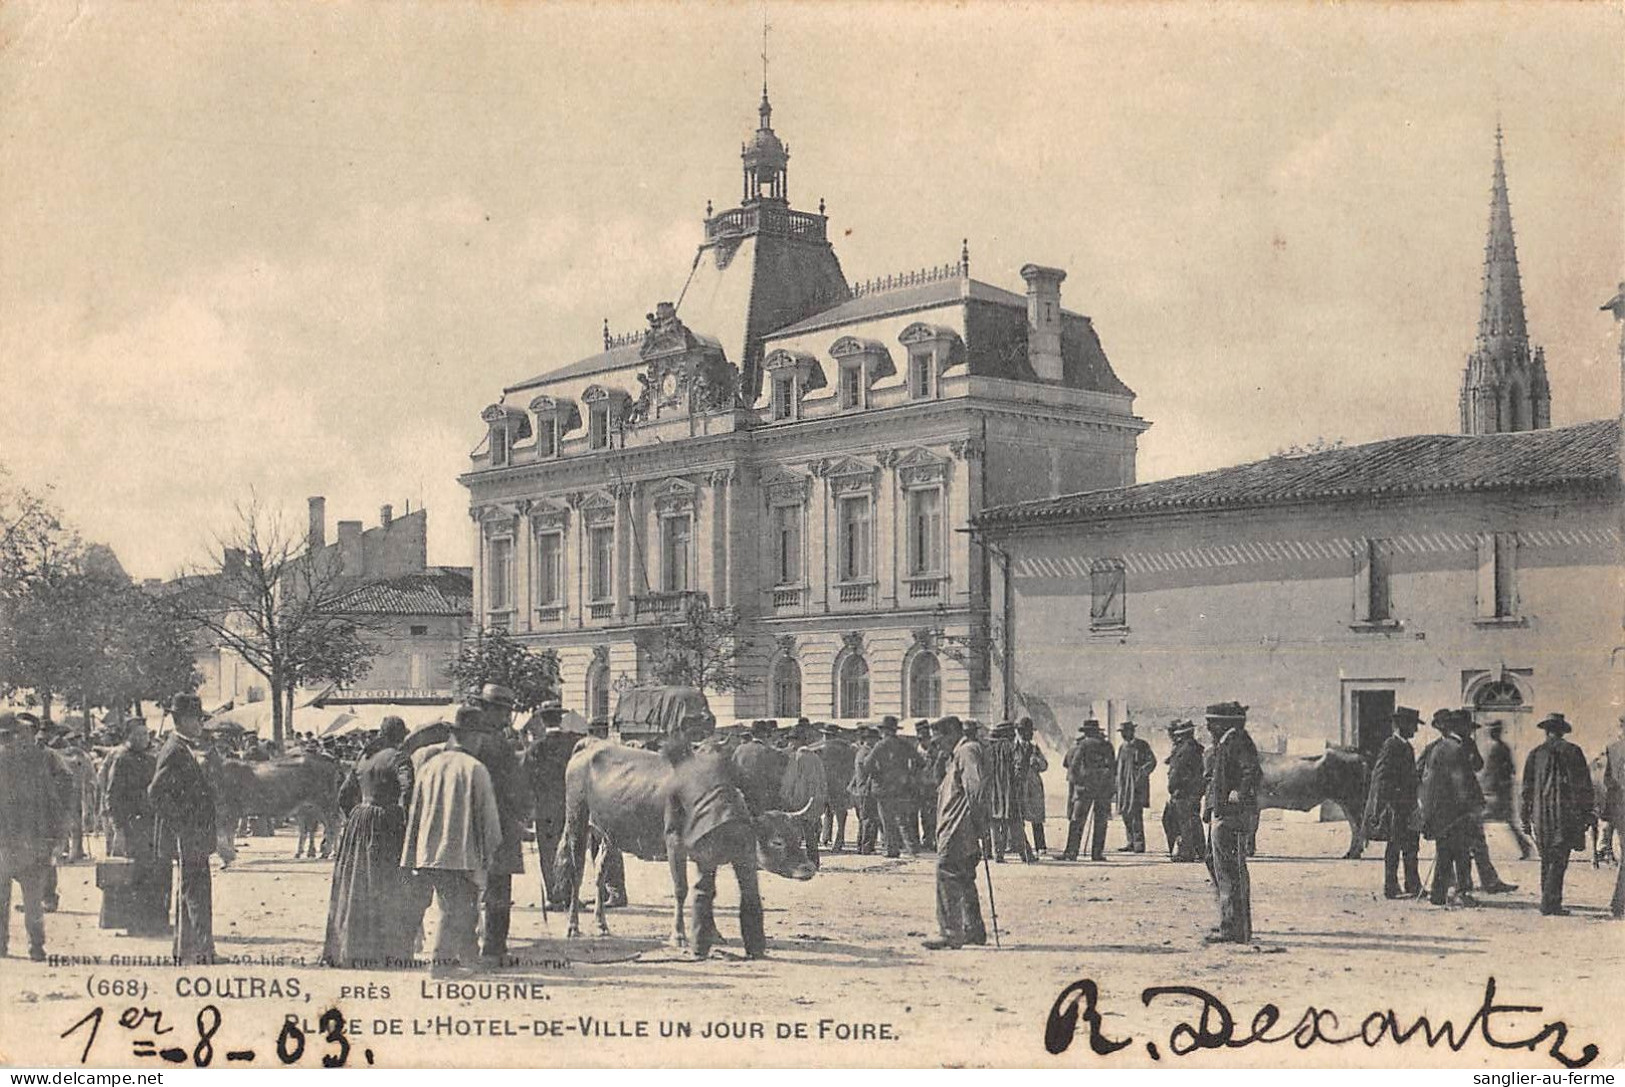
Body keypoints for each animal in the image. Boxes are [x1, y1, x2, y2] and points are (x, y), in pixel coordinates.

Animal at [211, 753, 344, 857]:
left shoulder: (229, 810)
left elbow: (228, 833)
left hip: (325, 803)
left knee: (334, 824)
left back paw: (329, 852)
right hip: (312, 808)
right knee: (320, 827)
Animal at [559, 734, 819, 942]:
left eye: (797, 836)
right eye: (777, 841)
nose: (809, 868)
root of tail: (591, 744)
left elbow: (708, 892)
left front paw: (714, 934)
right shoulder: (674, 843)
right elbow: (680, 889)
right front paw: (679, 935)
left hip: (609, 834)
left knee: (599, 873)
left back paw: (602, 924)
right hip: (576, 821)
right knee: (577, 873)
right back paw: (573, 926)